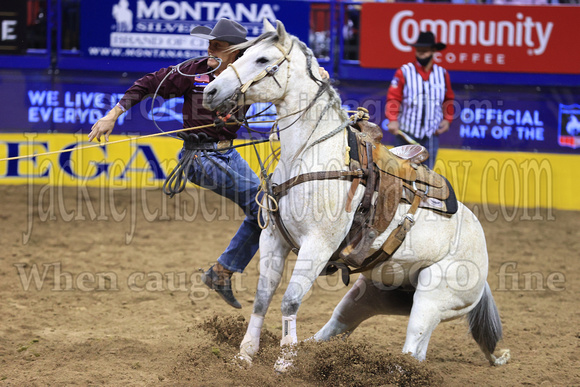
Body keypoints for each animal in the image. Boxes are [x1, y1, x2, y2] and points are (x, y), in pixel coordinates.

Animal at [202, 19, 510, 370]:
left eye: (263, 59)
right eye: (243, 54)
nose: (210, 91)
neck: (309, 154)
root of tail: (484, 269)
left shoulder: (318, 245)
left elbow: (290, 300)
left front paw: (284, 363)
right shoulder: (274, 239)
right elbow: (264, 297)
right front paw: (246, 354)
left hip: (432, 297)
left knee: (413, 347)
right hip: (371, 293)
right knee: (342, 327)